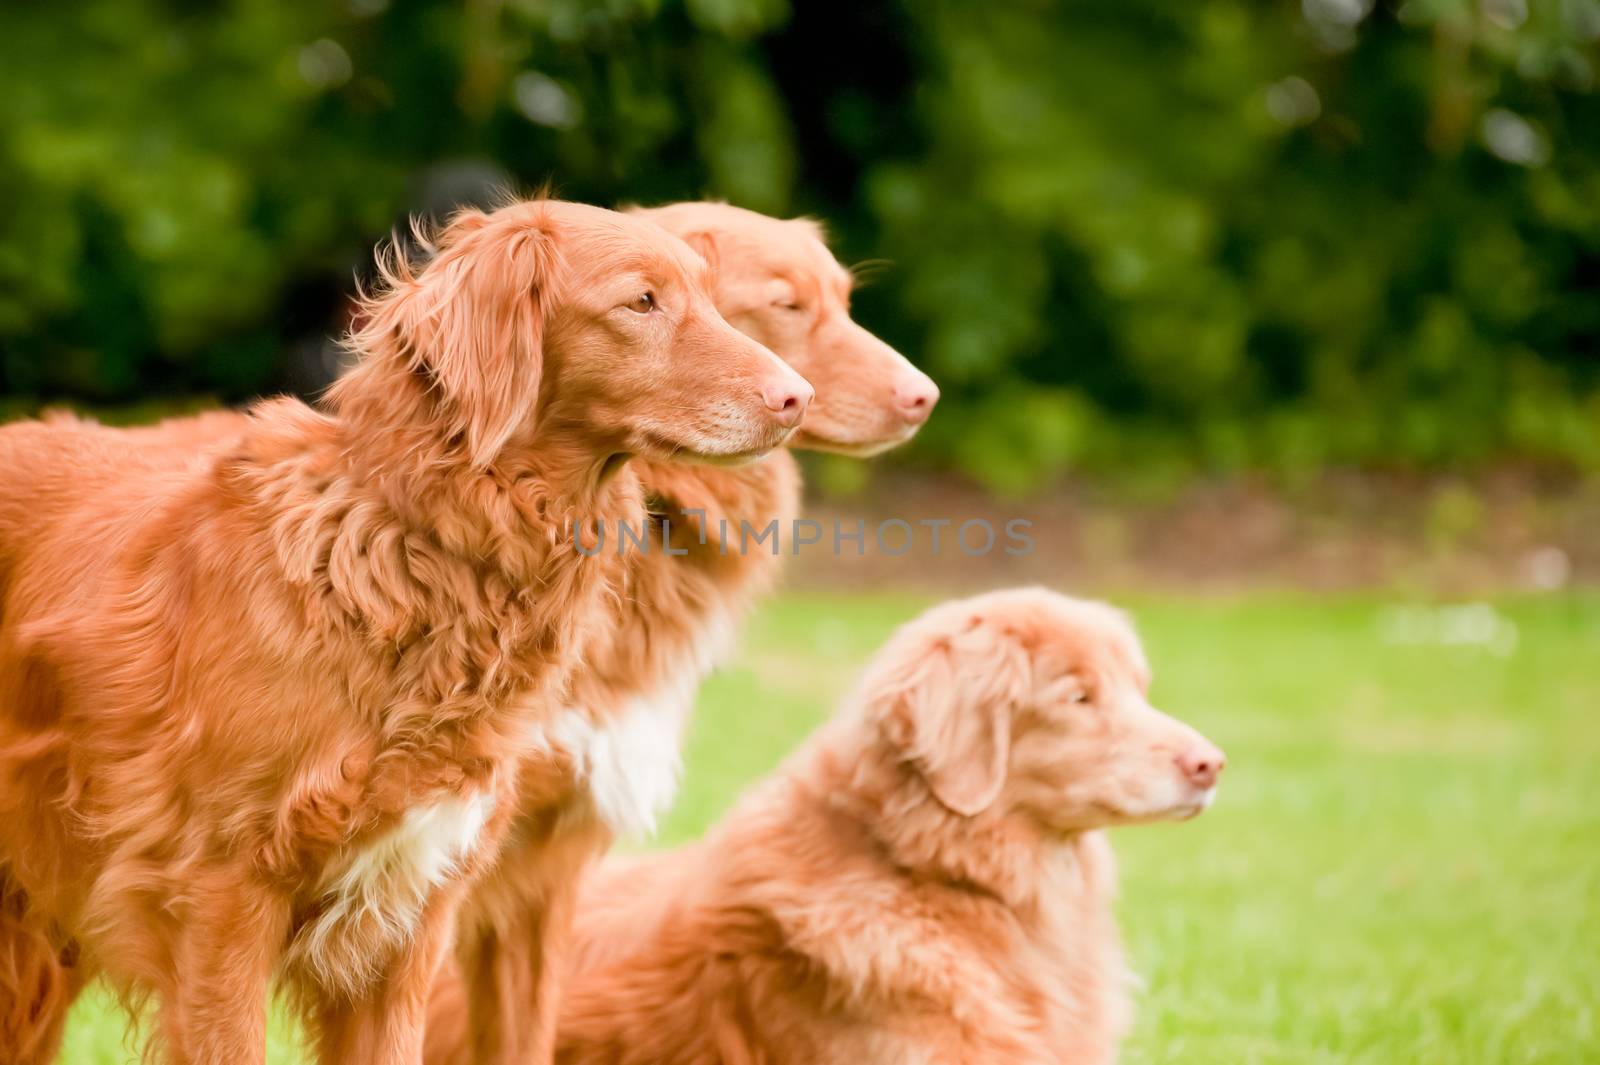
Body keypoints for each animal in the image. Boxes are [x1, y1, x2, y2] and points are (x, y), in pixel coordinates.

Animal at [0, 199, 812, 1061]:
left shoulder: (406, 920)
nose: (797, 397)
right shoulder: (218, 903)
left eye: (711, 299)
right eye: (642, 303)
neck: (420, 553)